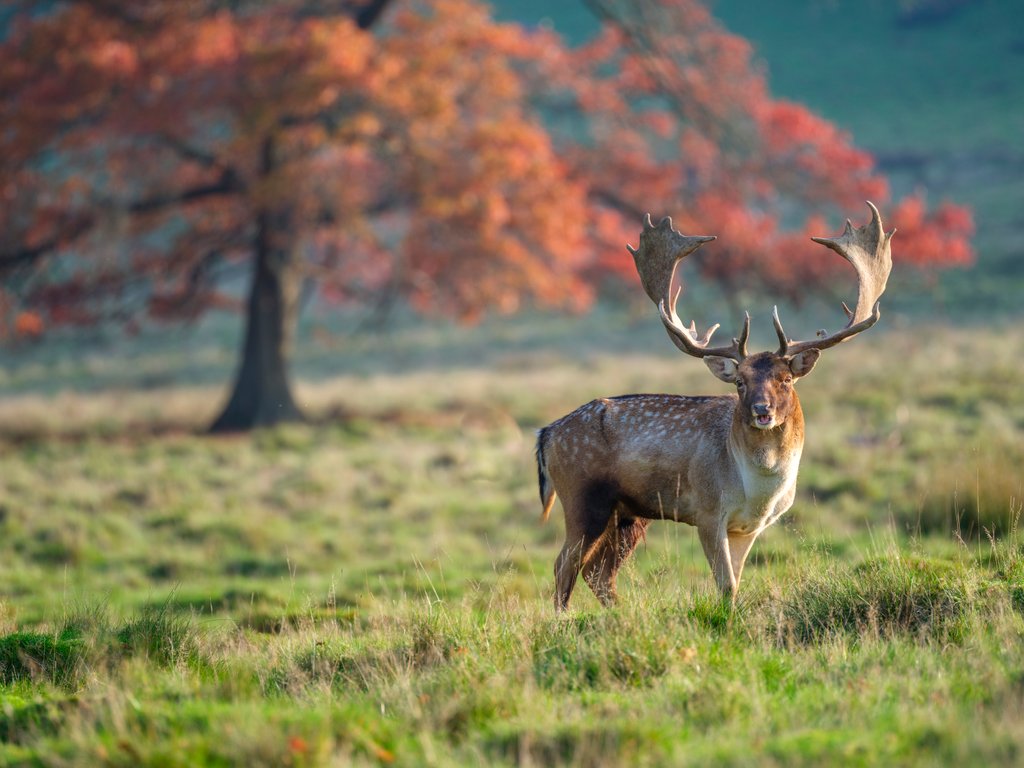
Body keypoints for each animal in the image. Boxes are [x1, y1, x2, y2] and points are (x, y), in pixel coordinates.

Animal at [535, 202, 893, 611]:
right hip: (583, 497)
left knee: (598, 571)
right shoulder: (706, 512)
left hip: (628, 514)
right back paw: (563, 619)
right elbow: (725, 585)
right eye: (740, 382)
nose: (762, 410)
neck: (758, 491)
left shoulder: (747, 527)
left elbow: (734, 584)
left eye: (785, 379)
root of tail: (546, 434)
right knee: (564, 564)